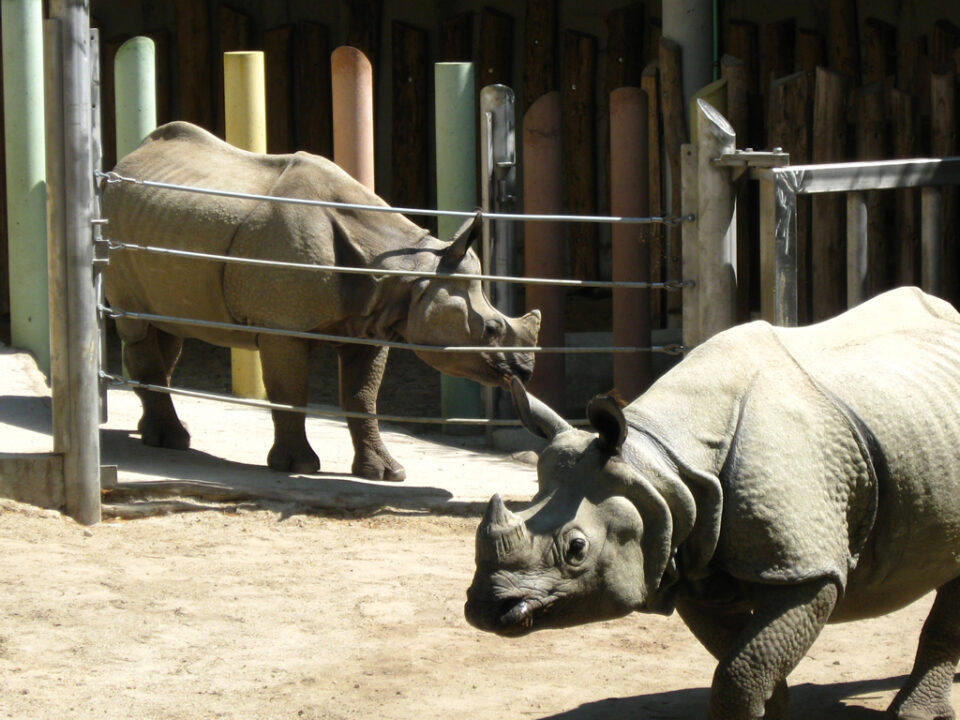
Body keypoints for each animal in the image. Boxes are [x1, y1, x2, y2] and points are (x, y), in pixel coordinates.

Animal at [102, 121, 540, 481]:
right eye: (491, 328)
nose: (526, 370)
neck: (411, 271)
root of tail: (126, 160)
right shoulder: (281, 327)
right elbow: (292, 392)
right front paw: (297, 466)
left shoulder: (371, 324)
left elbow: (363, 398)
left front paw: (386, 473)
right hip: (116, 228)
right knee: (138, 325)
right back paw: (171, 440)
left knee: (167, 327)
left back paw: (152, 431)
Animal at [465, 287, 960, 719]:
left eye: (576, 549)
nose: (488, 609)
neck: (659, 460)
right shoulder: (691, 557)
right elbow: (745, 665)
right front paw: (771, 713)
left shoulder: (807, 565)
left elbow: (742, 671)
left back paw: (913, 714)